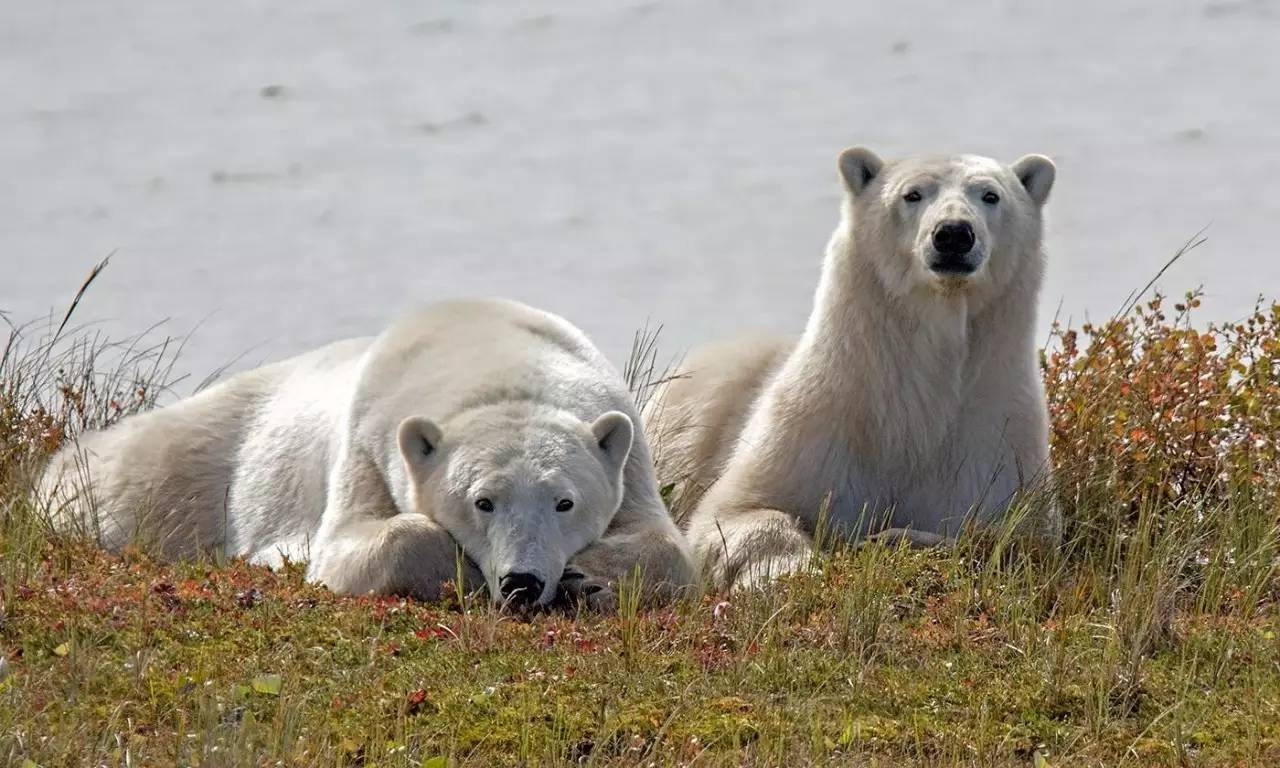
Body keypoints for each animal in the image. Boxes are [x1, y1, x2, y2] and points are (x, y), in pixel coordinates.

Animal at [45, 299, 696, 611]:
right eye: (482, 501)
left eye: (565, 502)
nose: (521, 583)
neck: (494, 354)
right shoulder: (366, 441)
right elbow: (352, 545)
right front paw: (457, 570)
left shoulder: (629, 446)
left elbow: (667, 545)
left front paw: (587, 578)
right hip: (203, 456)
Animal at [650, 147, 1059, 588]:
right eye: (912, 194)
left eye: (990, 195)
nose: (953, 233)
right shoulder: (820, 422)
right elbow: (737, 510)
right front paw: (788, 571)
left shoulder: (993, 439)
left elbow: (1013, 539)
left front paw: (893, 538)